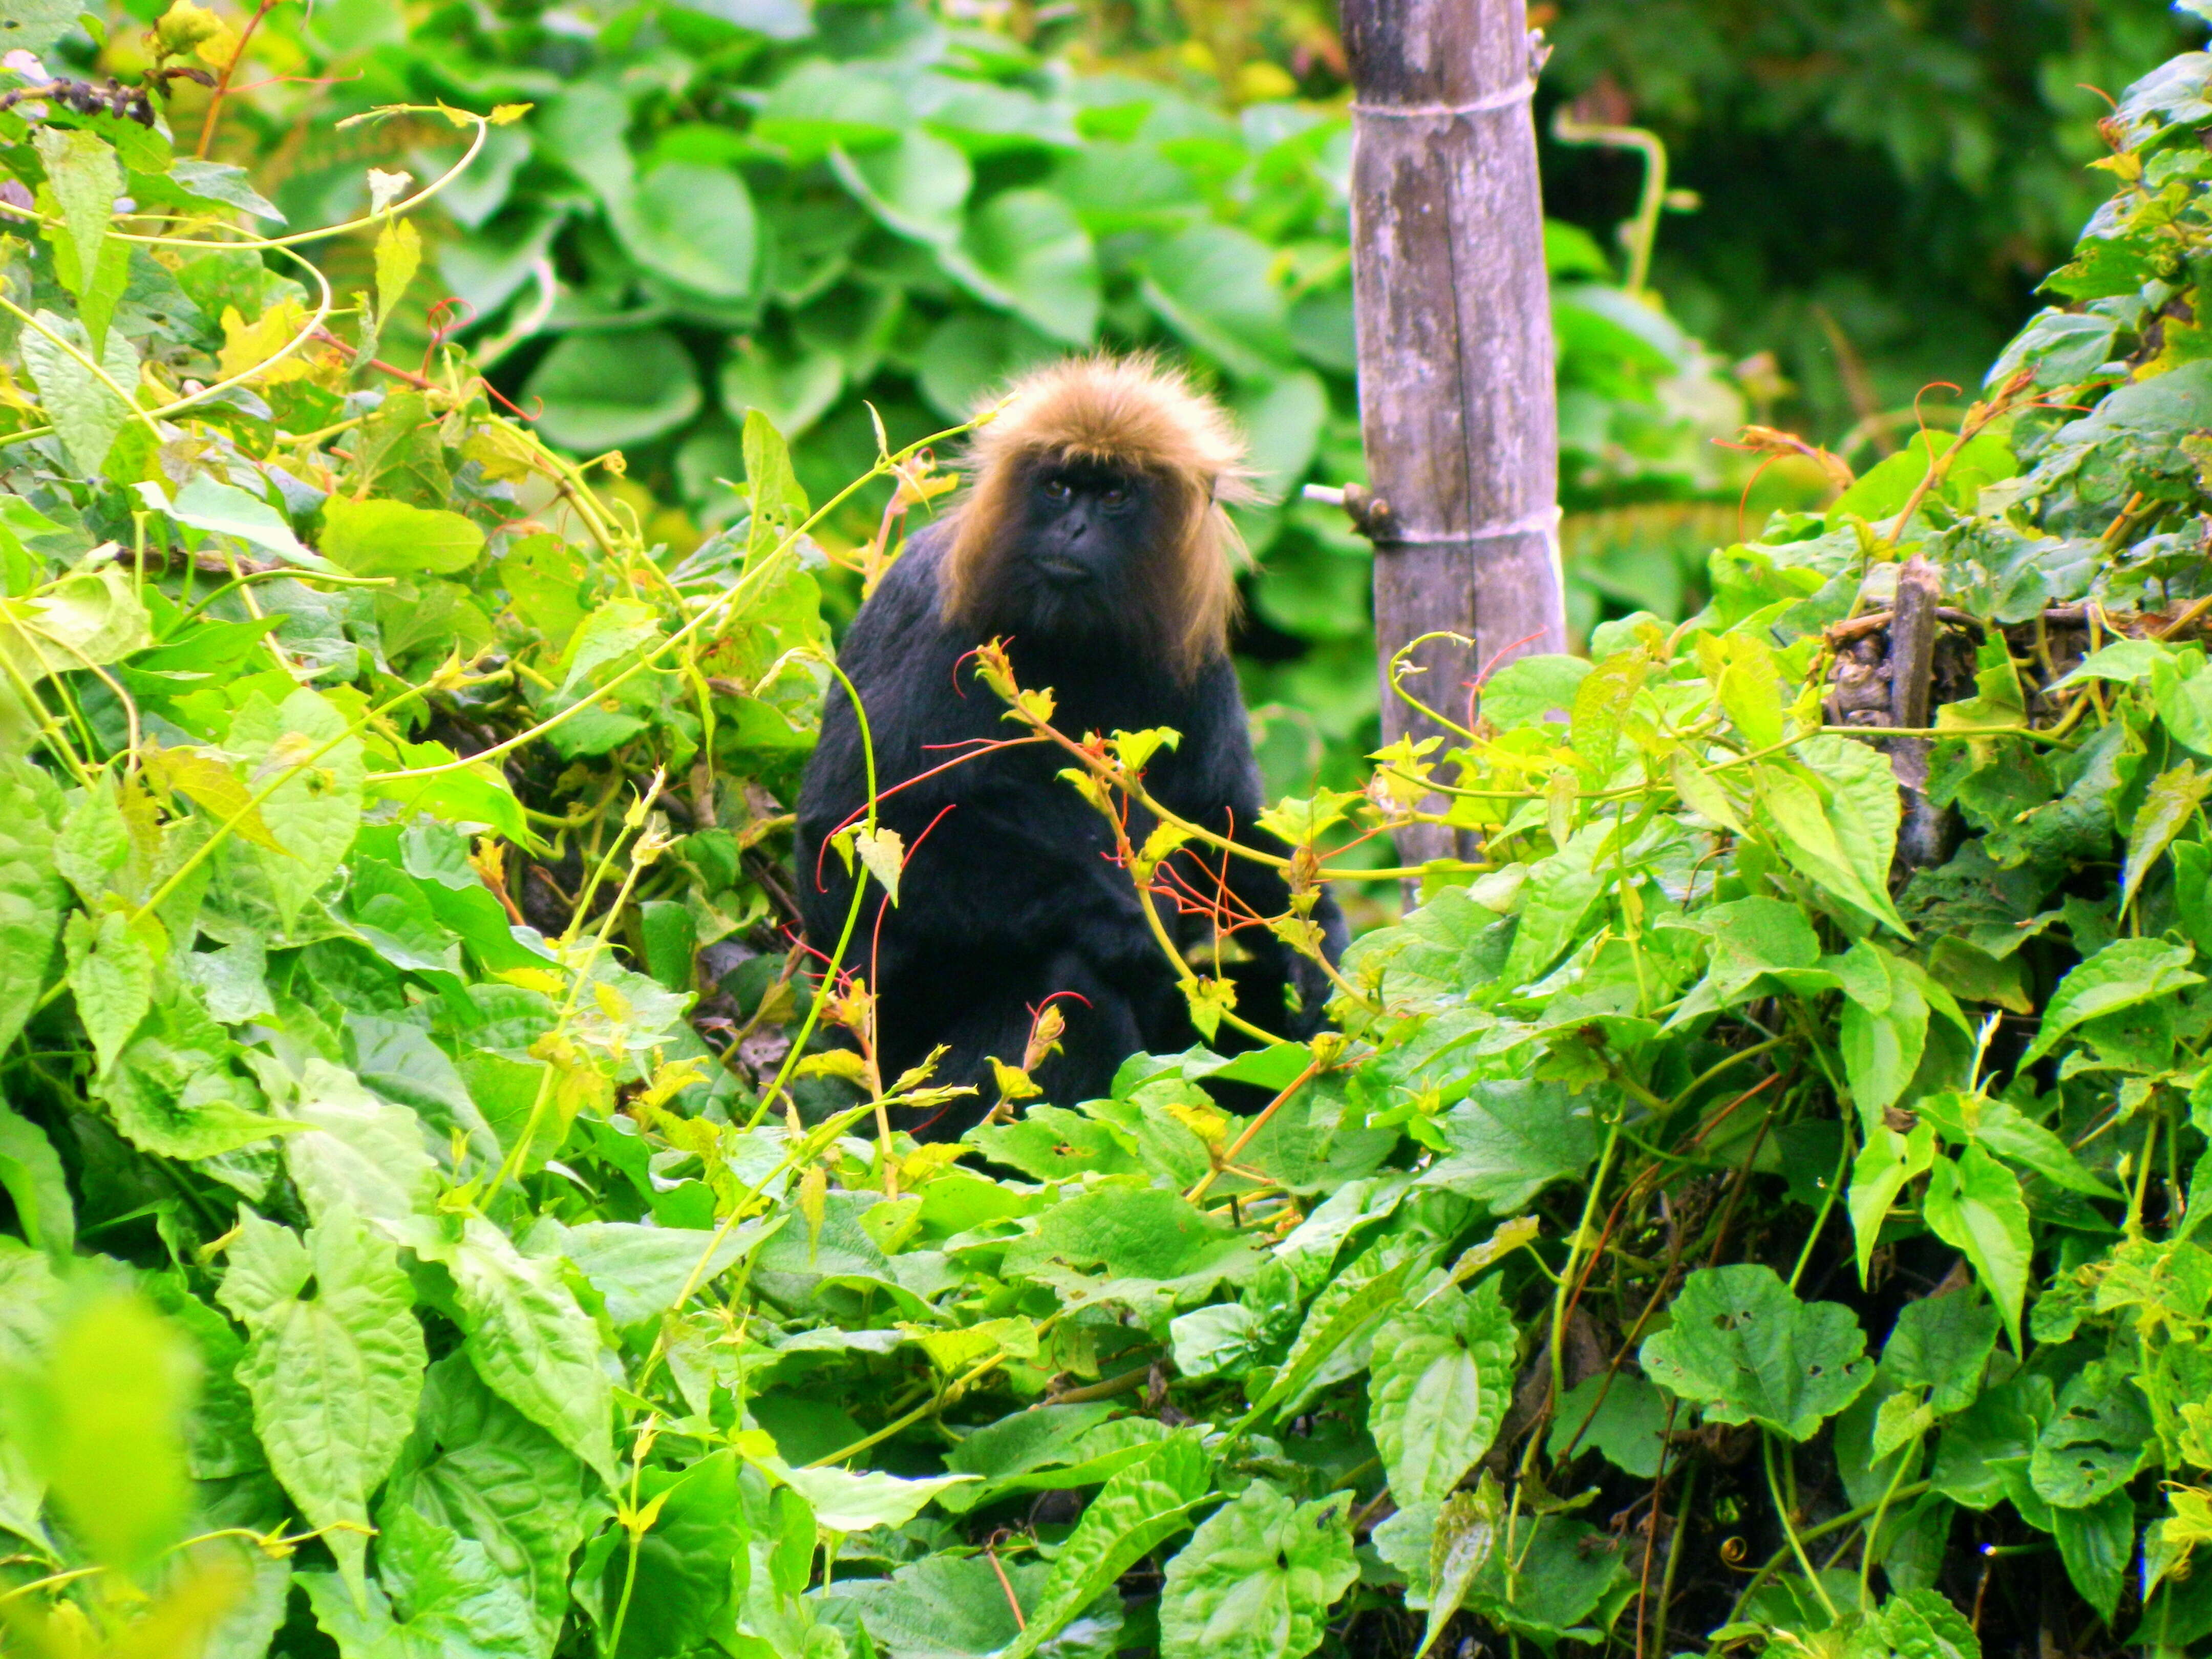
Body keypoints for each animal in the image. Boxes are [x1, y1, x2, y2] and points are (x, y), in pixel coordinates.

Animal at [796, 351, 1345, 1132]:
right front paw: (1126, 923)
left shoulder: (1195, 656)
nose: (1075, 530)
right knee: (1066, 980)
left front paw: (1320, 949)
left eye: (1113, 496)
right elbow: (847, 834)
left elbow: (1223, 821)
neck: (1072, 643)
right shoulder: (933, 618)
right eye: (1057, 489)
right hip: (918, 1090)